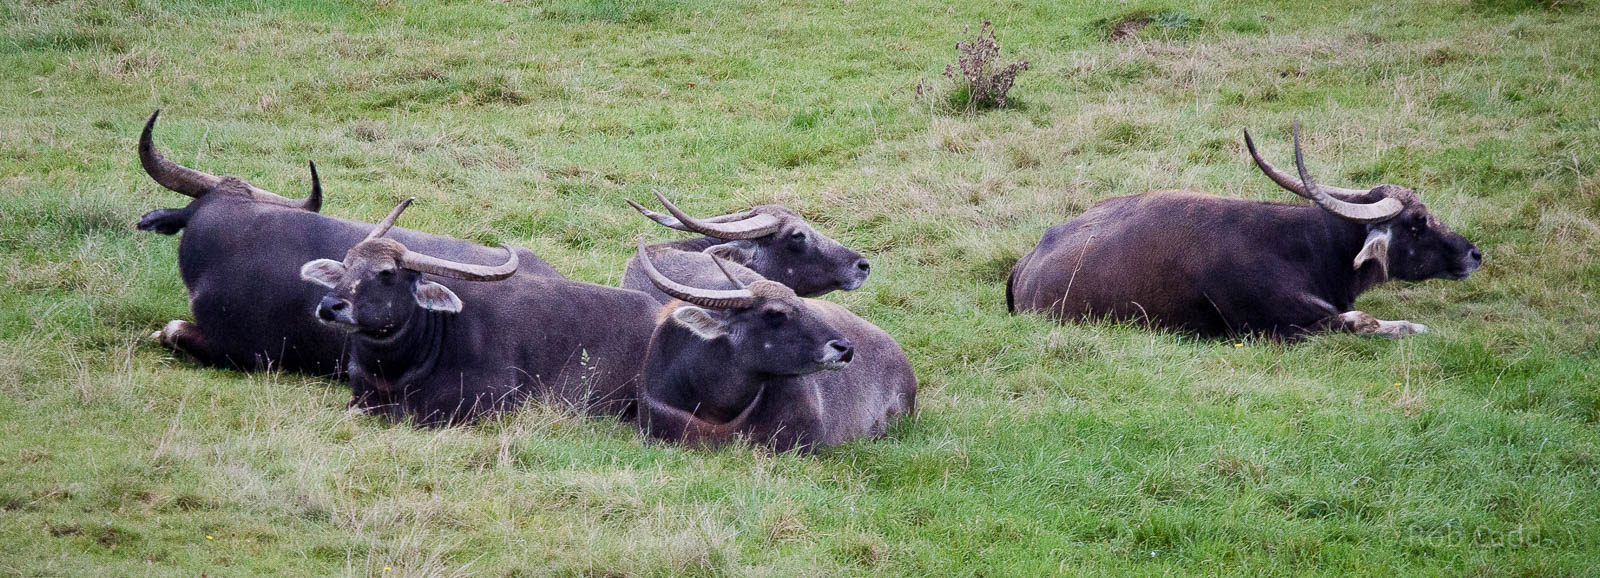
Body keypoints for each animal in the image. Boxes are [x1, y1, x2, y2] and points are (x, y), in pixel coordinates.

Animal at [1007, 124, 1482, 340]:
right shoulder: (1279, 328)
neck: (1304, 250)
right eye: (1417, 221)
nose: (1473, 253)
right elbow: (1363, 320)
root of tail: (1028, 261)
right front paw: (1411, 327)